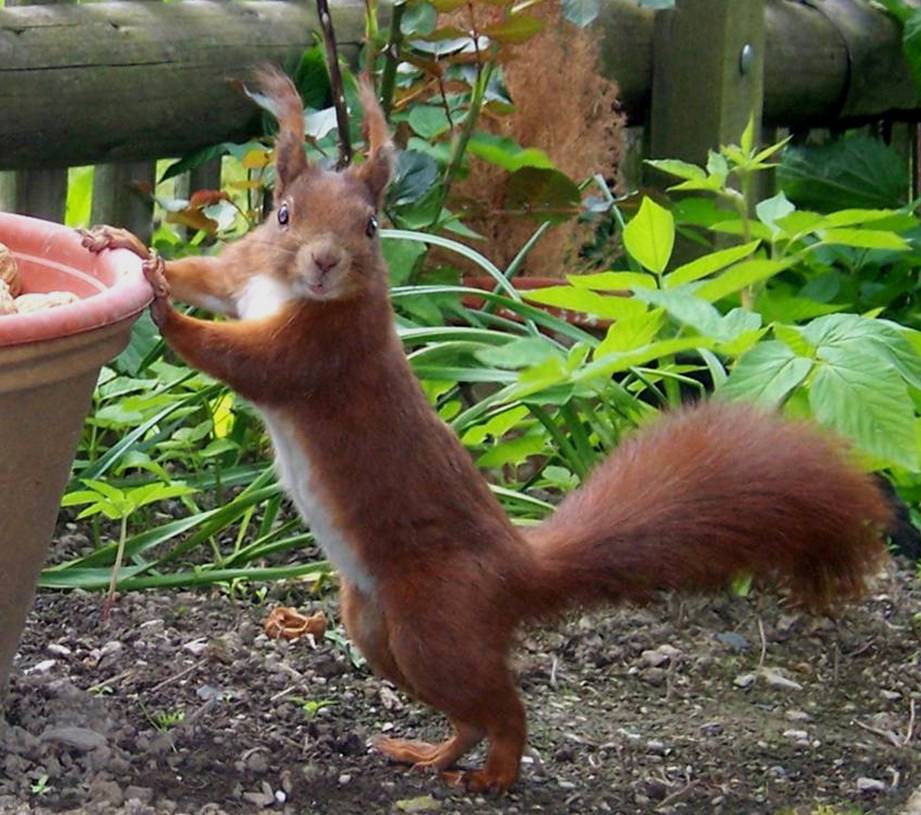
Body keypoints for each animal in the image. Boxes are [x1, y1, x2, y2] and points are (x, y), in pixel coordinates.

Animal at [81, 67, 892, 792]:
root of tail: (518, 570)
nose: (324, 260)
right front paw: (128, 246)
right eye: (282, 214)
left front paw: (164, 309)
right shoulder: (243, 273)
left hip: (435, 625)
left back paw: (497, 769)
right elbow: (210, 276)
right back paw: (431, 753)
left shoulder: (323, 351)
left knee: (503, 706)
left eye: (370, 226)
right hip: (375, 623)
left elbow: (245, 362)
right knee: (465, 710)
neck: (287, 289)